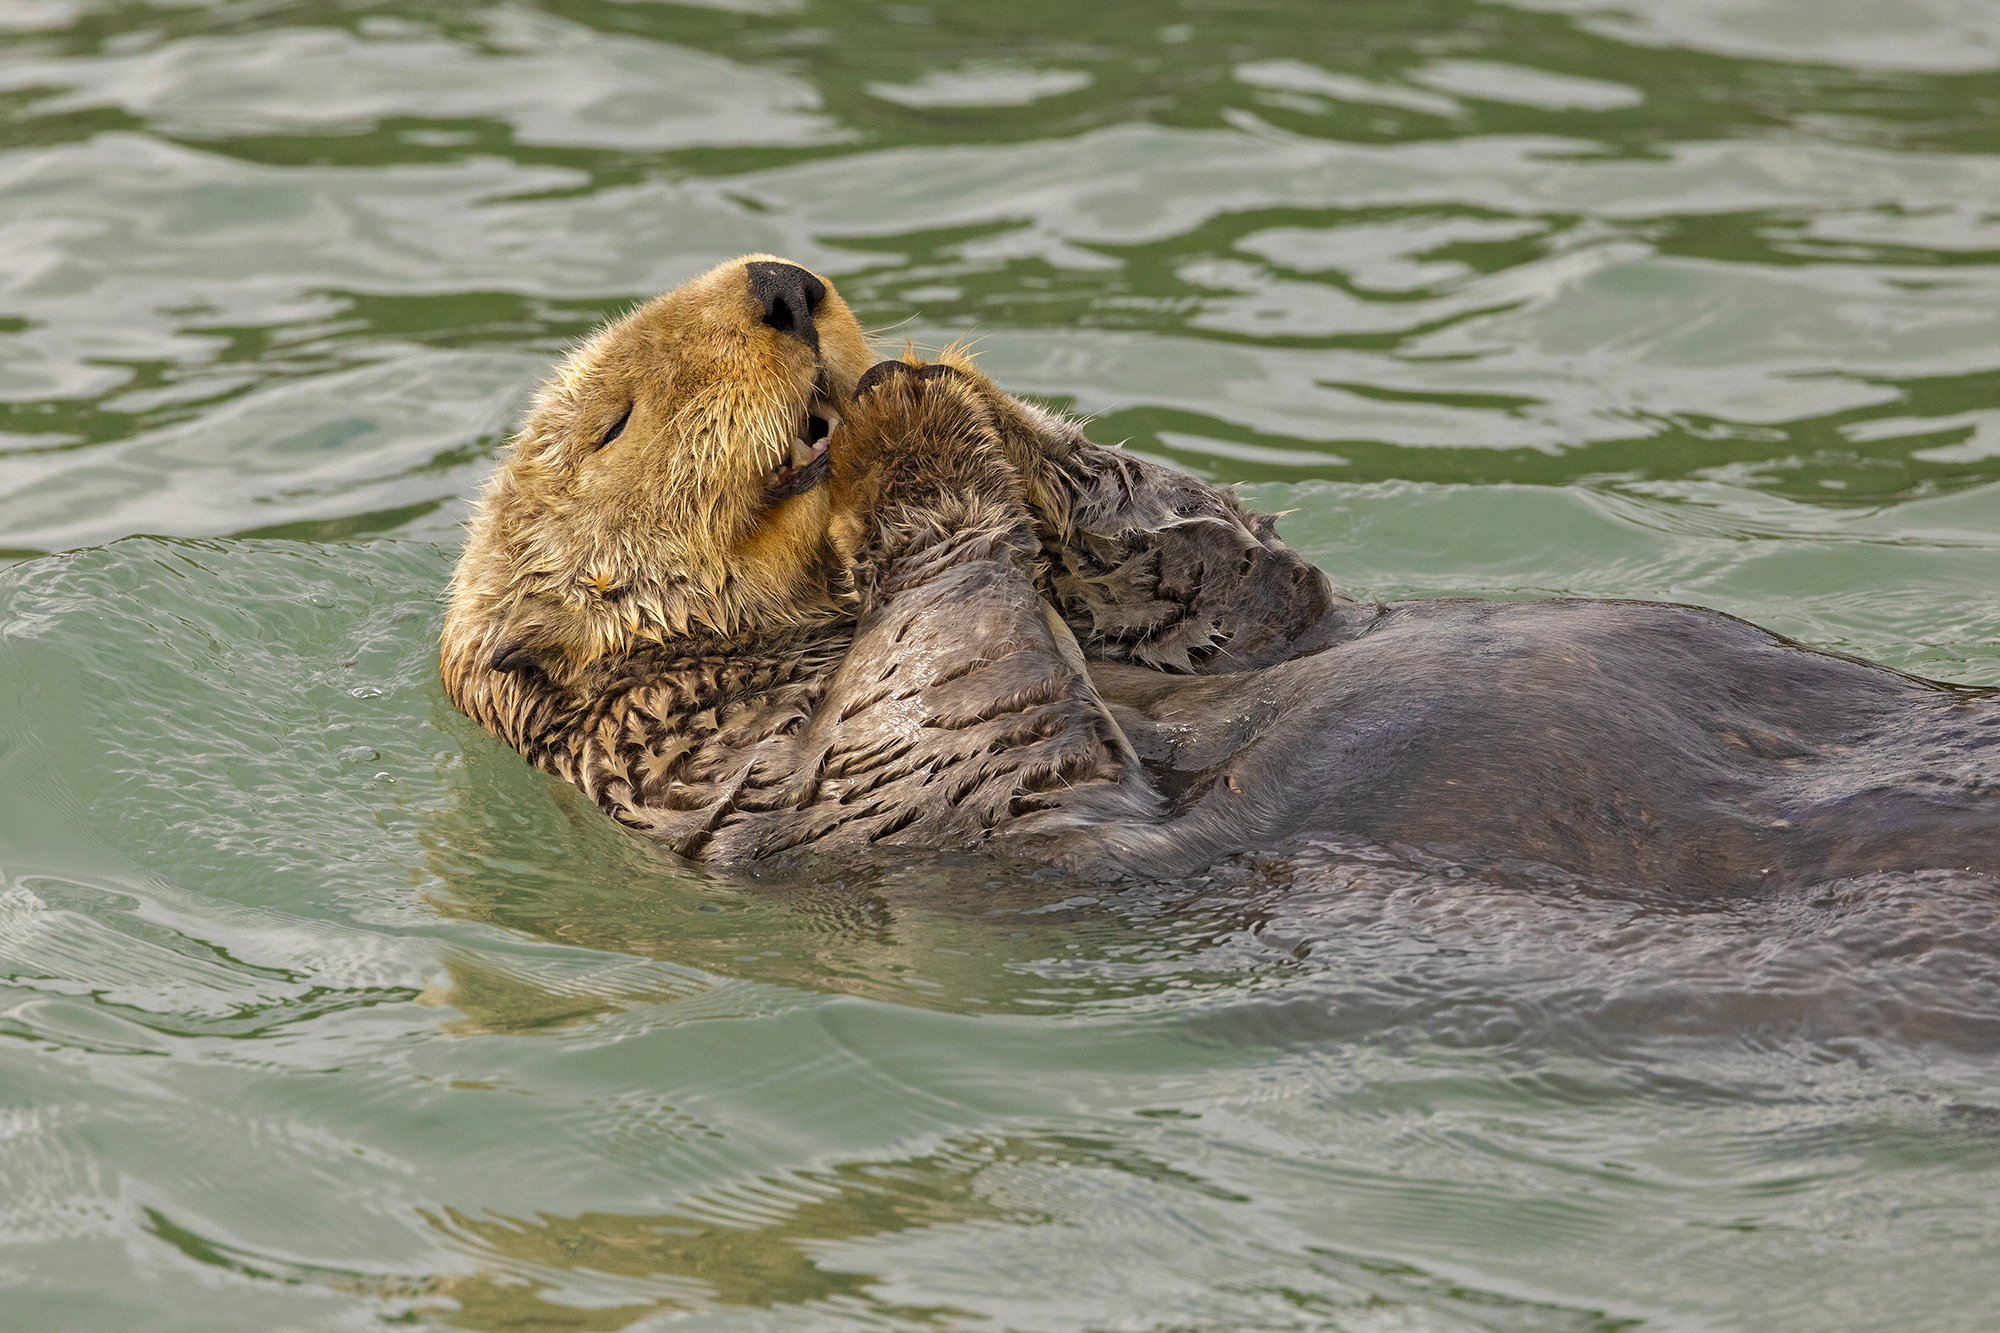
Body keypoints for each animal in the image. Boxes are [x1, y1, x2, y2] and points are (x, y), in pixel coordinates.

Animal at [442, 254, 2000, 888]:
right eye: (612, 420)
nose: (784, 287)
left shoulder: (1238, 621)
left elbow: (1237, 576)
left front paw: (940, 381)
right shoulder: (733, 771)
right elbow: (957, 715)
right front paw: (912, 435)